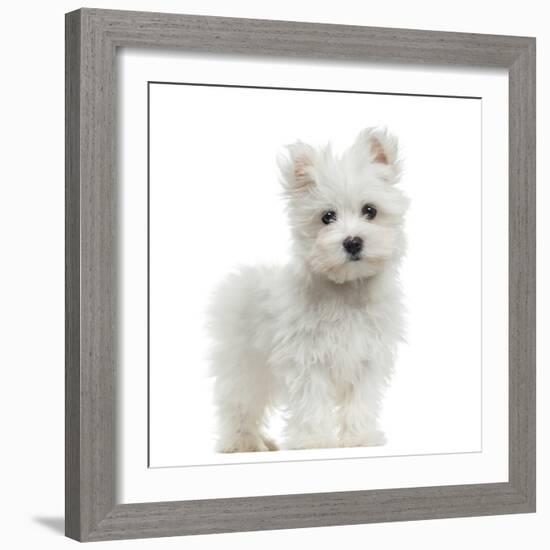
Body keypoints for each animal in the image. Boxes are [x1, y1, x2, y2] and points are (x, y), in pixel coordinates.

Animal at [207, 128, 410, 452]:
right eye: (327, 217)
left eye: (370, 211)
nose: (353, 242)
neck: (345, 290)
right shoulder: (307, 358)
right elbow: (312, 401)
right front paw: (315, 441)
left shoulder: (367, 358)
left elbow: (360, 402)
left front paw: (360, 438)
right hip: (245, 366)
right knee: (238, 405)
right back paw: (244, 443)